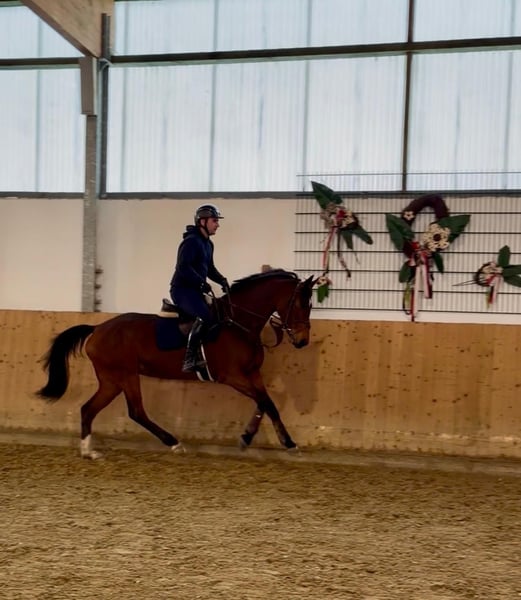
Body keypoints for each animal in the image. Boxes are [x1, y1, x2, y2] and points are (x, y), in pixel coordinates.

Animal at [37, 269, 315, 459]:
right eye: (301, 303)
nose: (302, 341)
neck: (238, 324)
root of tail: (97, 329)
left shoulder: (252, 374)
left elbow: (265, 403)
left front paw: (250, 438)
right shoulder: (233, 376)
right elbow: (266, 403)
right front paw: (287, 443)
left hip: (111, 380)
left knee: (89, 409)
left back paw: (88, 452)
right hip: (125, 375)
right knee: (136, 411)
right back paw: (174, 443)